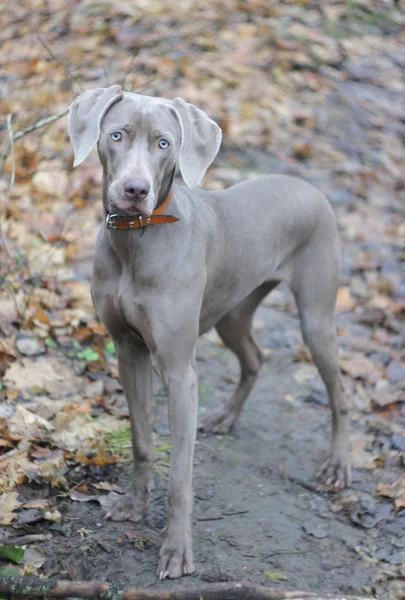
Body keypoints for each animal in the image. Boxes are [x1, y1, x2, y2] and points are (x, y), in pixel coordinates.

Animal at [68, 86, 348, 580]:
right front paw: (134, 505)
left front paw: (176, 551)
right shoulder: (129, 352)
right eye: (117, 135)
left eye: (163, 143)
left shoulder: (179, 372)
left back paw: (335, 465)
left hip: (316, 319)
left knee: (339, 393)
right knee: (255, 357)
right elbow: (142, 442)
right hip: (231, 315)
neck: (137, 240)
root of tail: (311, 187)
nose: (135, 191)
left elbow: (181, 478)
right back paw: (225, 417)